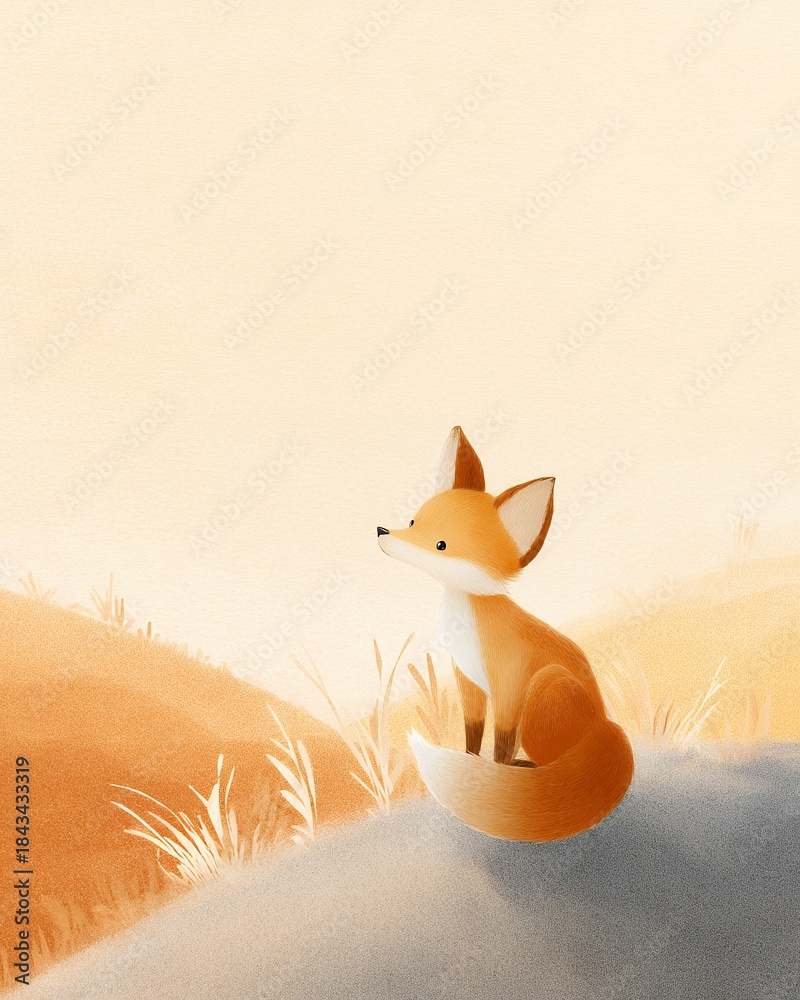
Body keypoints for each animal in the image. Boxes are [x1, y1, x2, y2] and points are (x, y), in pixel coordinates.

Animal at [377, 426, 634, 842]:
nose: (382, 531)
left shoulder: (509, 681)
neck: (465, 624)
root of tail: (605, 726)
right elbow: (473, 732)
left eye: (442, 545)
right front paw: (469, 762)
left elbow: (500, 742)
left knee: (543, 758)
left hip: (546, 686)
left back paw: (523, 769)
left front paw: (492, 776)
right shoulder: (466, 677)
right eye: (414, 522)